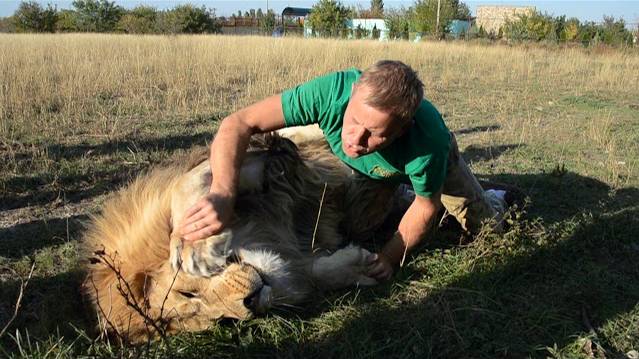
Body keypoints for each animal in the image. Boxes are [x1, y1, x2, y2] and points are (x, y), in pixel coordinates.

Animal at [82, 130, 398, 344]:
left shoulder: (255, 156)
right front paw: (358, 268)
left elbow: (188, 187)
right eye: (223, 321)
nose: (251, 303)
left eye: (187, 292)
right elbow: (313, 273)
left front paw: (195, 247)